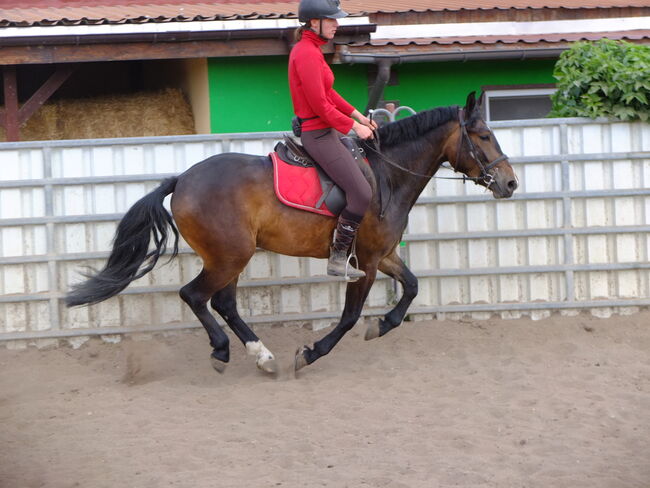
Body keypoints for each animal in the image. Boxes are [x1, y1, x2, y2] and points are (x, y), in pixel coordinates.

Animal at [66, 91, 516, 374]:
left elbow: (412, 286)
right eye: (483, 136)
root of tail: (182, 180)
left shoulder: (384, 255)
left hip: (229, 257)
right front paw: (313, 352)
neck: (387, 172)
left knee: (224, 302)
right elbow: (350, 316)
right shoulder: (367, 262)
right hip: (229, 255)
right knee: (195, 296)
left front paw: (383, 325)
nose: (510, 184)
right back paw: (224, 350)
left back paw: (261, 356)